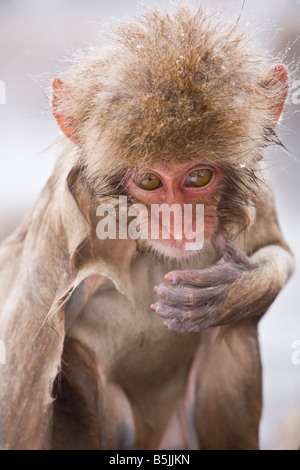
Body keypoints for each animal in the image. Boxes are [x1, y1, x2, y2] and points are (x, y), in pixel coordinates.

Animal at [0, 6, 294, 448]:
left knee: (234, 331)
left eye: (198, 176)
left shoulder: (257, 195)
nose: (179, 223)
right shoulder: (61, 230)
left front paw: (236, 289)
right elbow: (22, 402)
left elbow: (281, 253)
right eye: (150, 180)